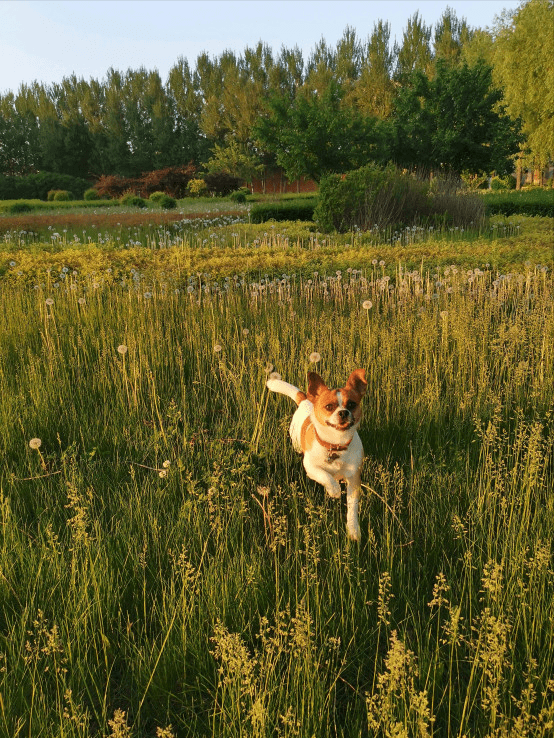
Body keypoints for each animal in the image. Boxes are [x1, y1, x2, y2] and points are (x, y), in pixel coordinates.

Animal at [264, 370, 364, 536]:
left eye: (351, 404)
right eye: (329, 406)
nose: (343, 412)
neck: (335, 445)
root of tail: (305, 399)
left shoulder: (353, 477)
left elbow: (352, 507)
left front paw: (353, 529)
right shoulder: (310, 467)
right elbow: (324, 475)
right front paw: (334, 490)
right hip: (296, 443)